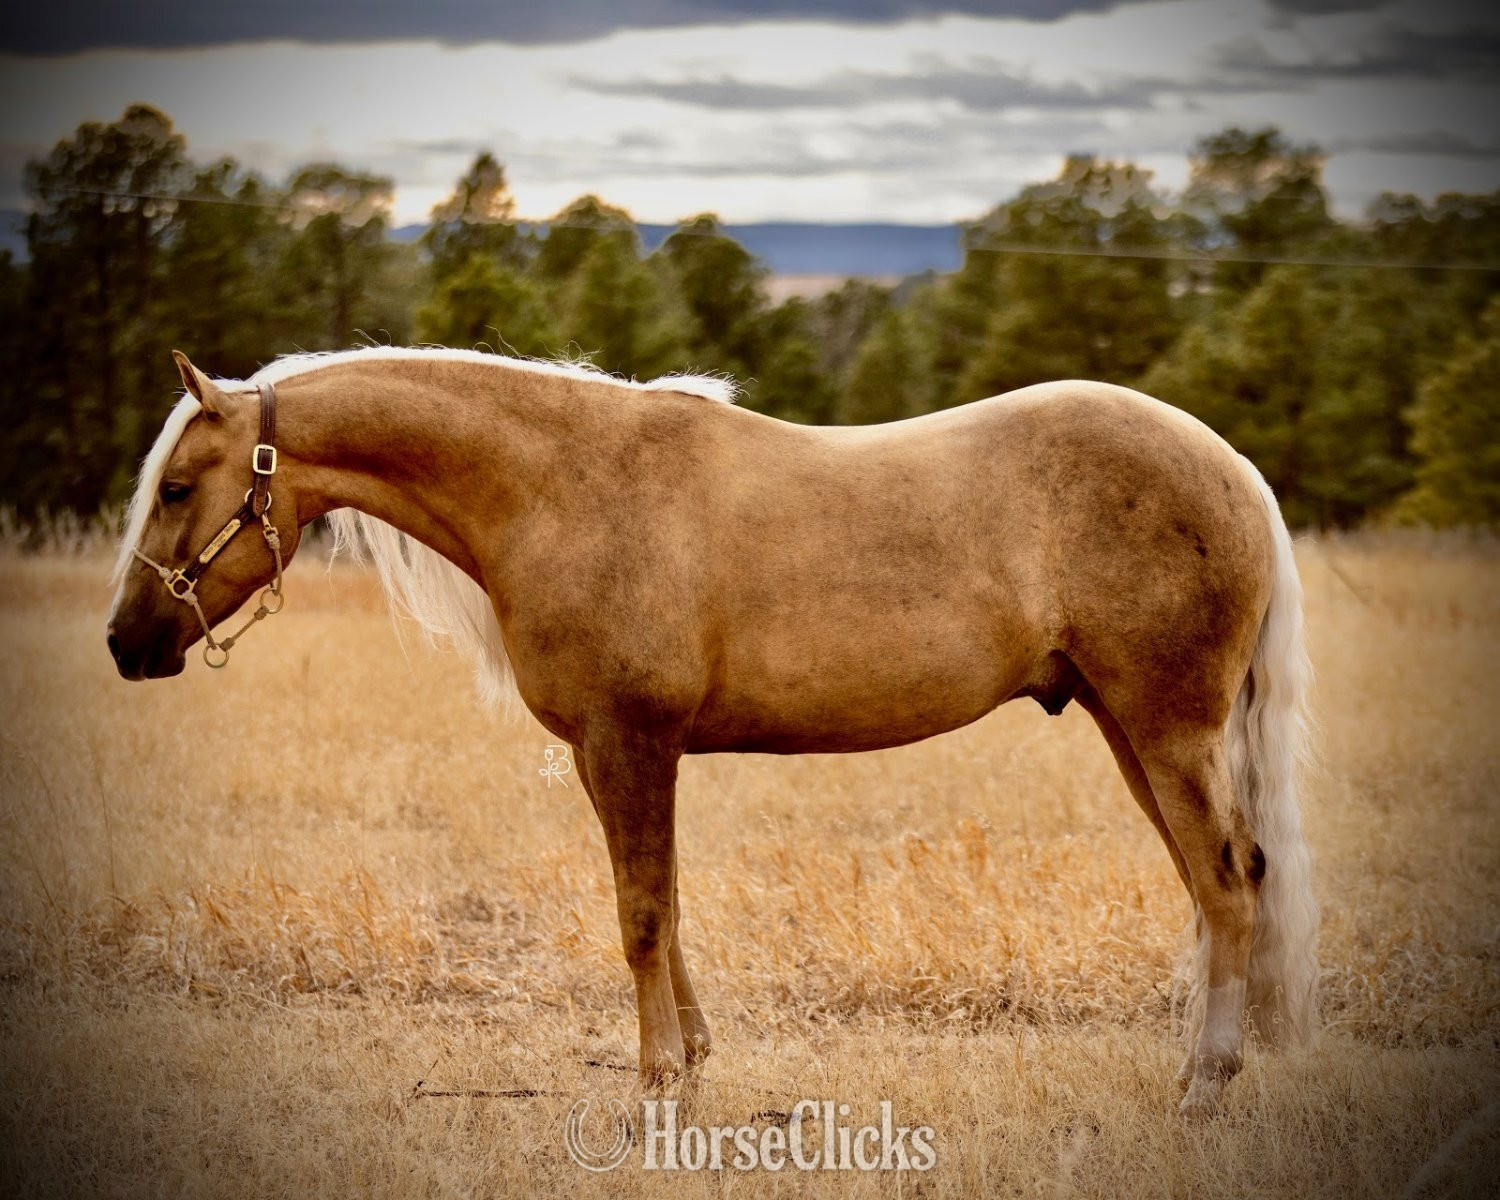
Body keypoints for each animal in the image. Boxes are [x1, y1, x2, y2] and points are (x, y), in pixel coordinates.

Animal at [107, 346, 1319, 1118]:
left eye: (176, 486)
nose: (126, 642)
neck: (563, 486)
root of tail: (1233, 469)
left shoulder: (627, 741)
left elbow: (641, 914)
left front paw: (652, 1087)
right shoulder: (618, 754)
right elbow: (669, 904)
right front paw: (688, 1063)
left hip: (1167, 728)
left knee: (1226, 884)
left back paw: (1203, 1088)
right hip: (1130, 728)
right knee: (1218, 883)